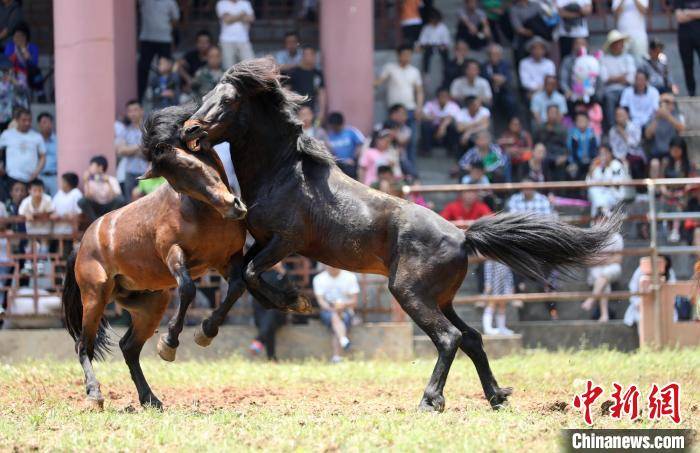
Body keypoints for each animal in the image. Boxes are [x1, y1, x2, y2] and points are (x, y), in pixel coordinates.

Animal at [61, 104, 250, 408]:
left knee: (128, 347)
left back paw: (150, 398)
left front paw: (205, 332)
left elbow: (237, 288)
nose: (233, 206)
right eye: (178, 184)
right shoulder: (174, 255)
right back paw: (95, 394)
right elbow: (188, 289)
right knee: (83, 346)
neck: (204, 213)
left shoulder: (227, 259)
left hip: (150, 304)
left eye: (194, 164)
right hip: (95, 296)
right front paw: (169, 344)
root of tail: (83, 243)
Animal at [171, 58, 616, 412]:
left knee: (450, 338)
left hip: (409, 292)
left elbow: (249, 278)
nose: (189, 131)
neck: (283, 173)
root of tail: (463, 237)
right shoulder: (262, 244)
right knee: (471, 337)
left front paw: (294, 302)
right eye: (207, 94)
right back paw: (495, 396)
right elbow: (236, 283)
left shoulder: (284, 243)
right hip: (439, 297)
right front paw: (204, 331)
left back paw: (431, 400)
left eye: (228, 101)